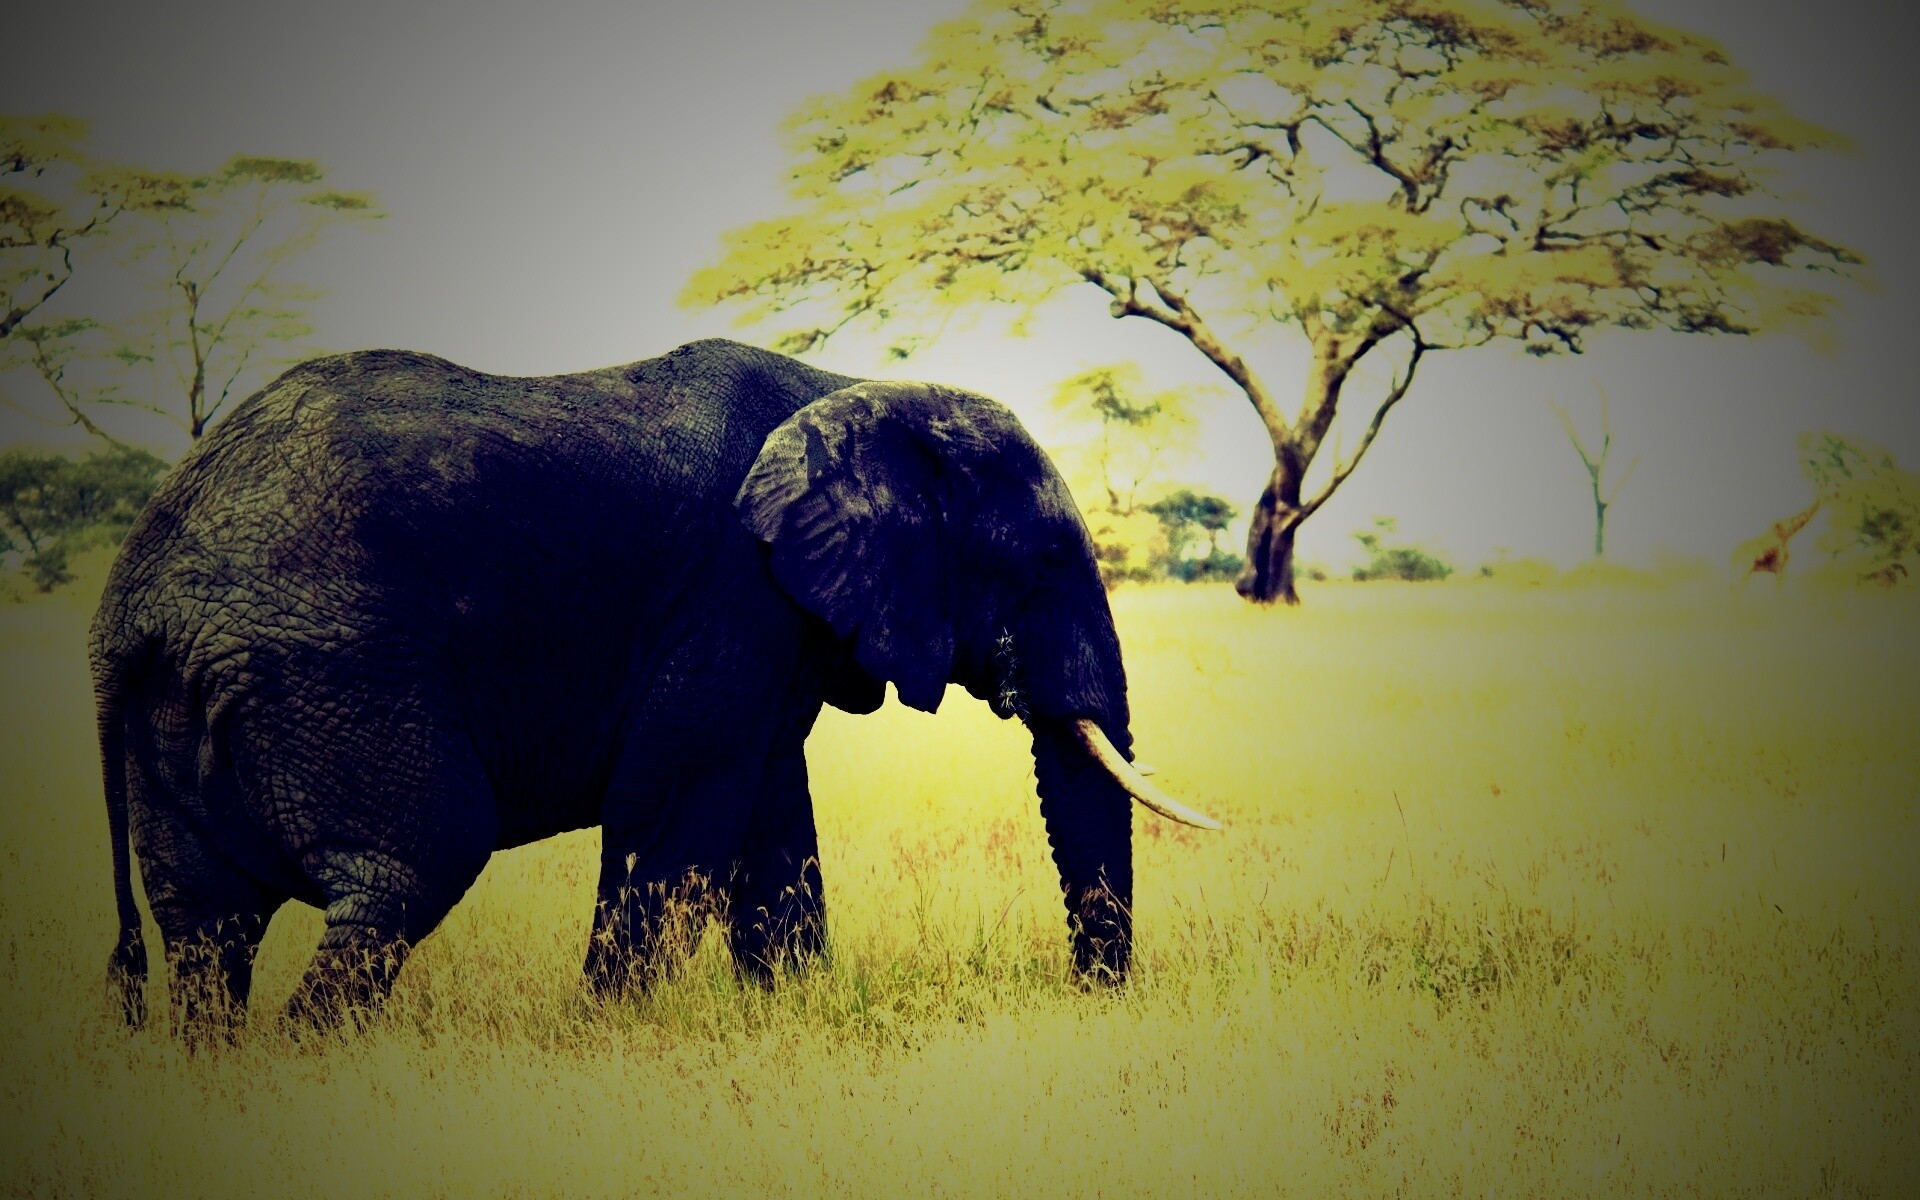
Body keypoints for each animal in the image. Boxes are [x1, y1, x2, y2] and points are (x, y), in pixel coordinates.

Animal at [90, 337, 1217, 1034]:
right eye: (1043, 561)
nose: (1091, 998)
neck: (852, 386)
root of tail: (128, 606)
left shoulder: (773, 622)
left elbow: (770, 820)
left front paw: (789, 1015)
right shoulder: (731, 588)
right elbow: (674, 810)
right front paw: (613, 1033)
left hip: (196, 701)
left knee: (206, 923)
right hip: (328, 673)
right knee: (412, 864)